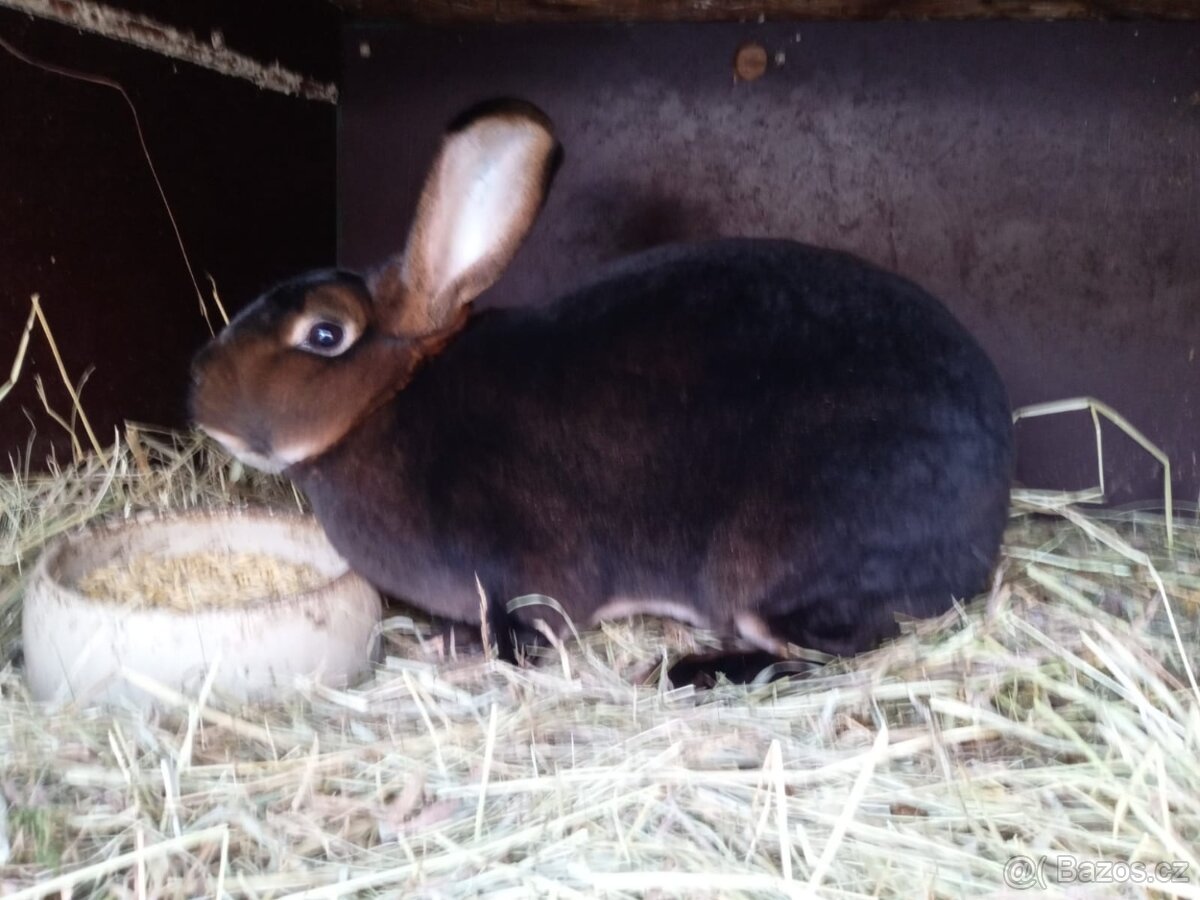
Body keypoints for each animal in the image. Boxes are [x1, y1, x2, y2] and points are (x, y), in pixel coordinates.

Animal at [189, 98, 1014, 685]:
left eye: (324, 335)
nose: (197, 389)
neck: (385, 403)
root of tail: (987, 525)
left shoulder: (518, 575)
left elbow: (527, 629)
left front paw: (455, 648)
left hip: (778, 563)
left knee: (826, 649)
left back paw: (692, 672)